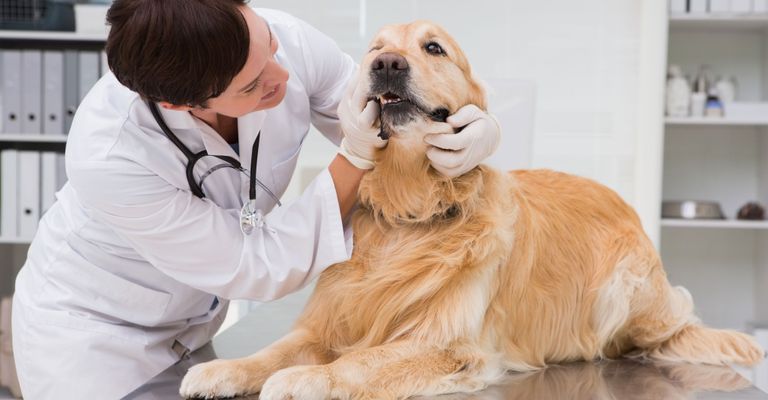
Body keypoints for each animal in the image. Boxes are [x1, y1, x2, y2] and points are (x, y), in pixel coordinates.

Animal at [178, 19, 760, 400]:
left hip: (627, 287)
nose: (386, 64)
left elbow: (363, 359)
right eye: (374, 49)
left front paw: (309, 379)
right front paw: (227, 369)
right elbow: (277, 349)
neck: (410, 212)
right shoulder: (327, 321)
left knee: (667, 332)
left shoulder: (449, 344)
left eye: (434, 47)